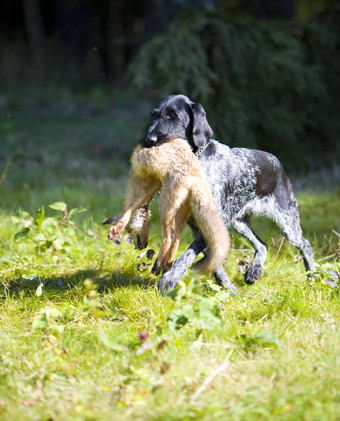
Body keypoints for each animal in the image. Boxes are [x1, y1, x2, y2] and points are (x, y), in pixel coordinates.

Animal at [114, 94, 338, 292]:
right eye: (154, 115)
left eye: (172, 116)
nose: (148, 140)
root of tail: (276, 162)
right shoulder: (198, 226)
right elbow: (213, 262)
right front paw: (228, 288)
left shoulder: (208, 225)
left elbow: (186, 257)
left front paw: (169, 279)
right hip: (239, 222)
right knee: (263, 244)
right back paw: (253, 272)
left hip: (287, 222)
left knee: (305, 245)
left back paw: (312, 276)